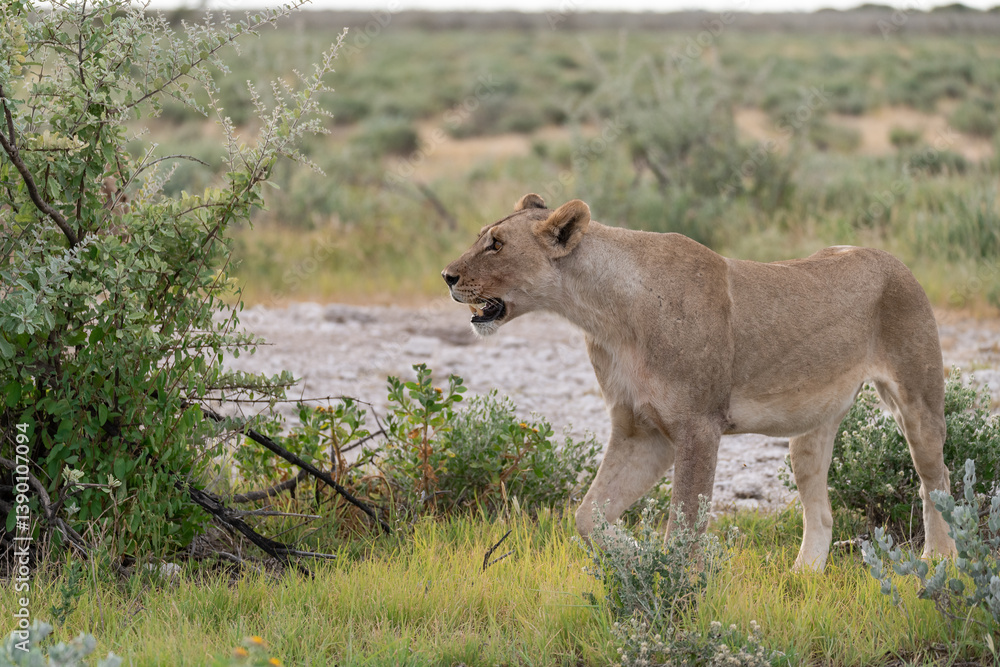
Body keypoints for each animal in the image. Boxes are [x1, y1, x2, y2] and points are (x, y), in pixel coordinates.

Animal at [442, 193, 957, 571]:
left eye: (496, 244)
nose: (447, 275)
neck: (603, 313)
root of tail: (891, 259)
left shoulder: (698, 427)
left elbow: (683, 527)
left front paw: (674, 589)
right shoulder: (640, 431)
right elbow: (589, 515)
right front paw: (635, 557)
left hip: (917, 402)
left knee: (937, 480)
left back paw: (939, 562)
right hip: (811, 430)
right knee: (821, 507)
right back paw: (804, 574)